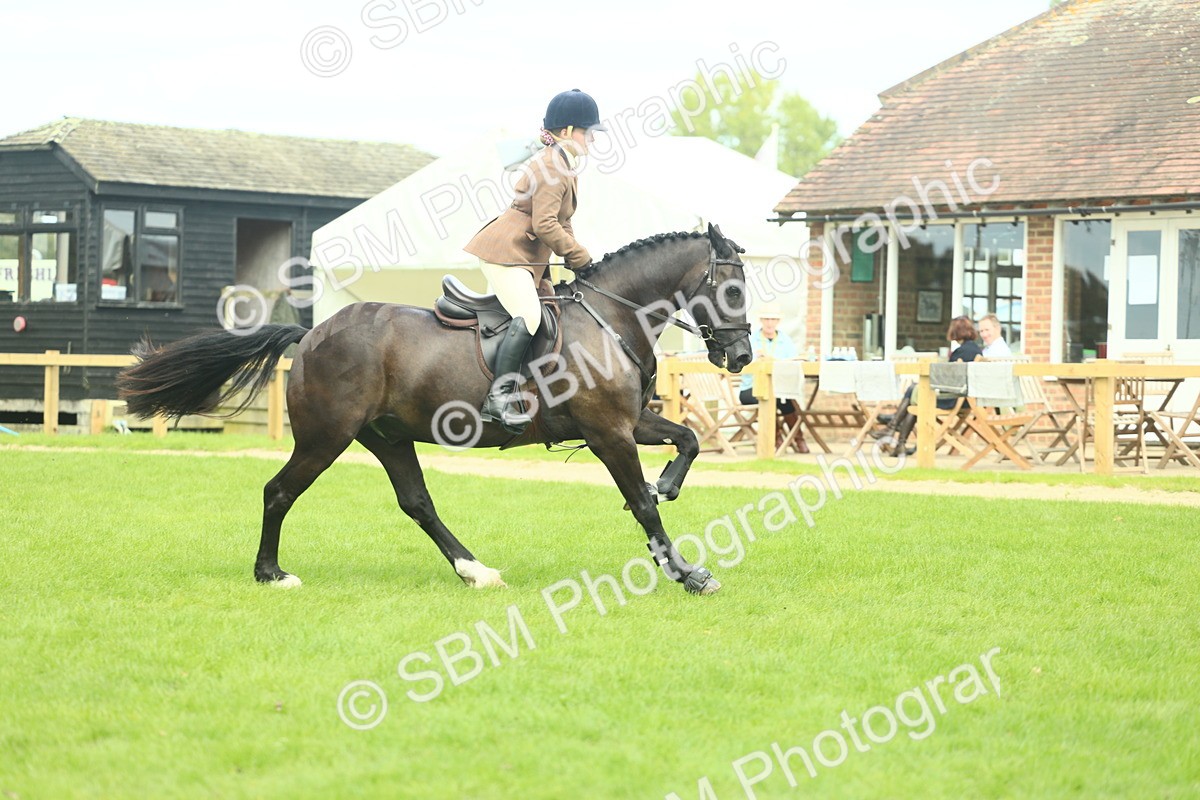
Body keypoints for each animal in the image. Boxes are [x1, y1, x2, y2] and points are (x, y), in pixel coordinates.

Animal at [116, 224, 753, 596]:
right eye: (734, 289)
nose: (743, 356)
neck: (610, 319)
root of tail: (312, 332)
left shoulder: (630, 422)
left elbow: (688, 442)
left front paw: (669, 484)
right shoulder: (608, 433)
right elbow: (642, 505)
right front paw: (687, 572)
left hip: (388, 437)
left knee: (417, 503)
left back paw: (477, 571)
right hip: (327, 437)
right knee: (279, 492)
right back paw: (271, 574)